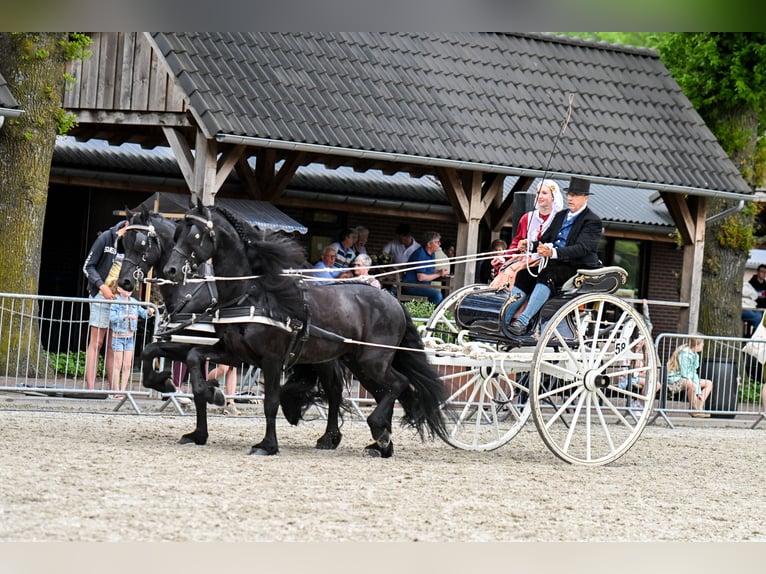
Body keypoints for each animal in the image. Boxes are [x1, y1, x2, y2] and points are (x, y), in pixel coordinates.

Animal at [117, 209, 348, 452]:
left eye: (141, 243)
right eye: (123, 242)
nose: (124, 282)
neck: (190, 291)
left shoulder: (198, 344)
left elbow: (195, 384)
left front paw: (213, 395)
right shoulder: (196, 346)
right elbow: (151, 351)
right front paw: (167, 385)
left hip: (322, 357)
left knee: (333, 390)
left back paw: (329, 437)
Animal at [163, 205, 450, 462]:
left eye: (195, 234)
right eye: (176, 233)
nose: (170, 271)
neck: (252, 293)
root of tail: (393, 301)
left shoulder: (271, 359)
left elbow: (270, 402)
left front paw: (267, 445)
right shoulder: (235, 353)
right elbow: (194, 358)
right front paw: (206, 409)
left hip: (373, 361)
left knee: (399, 384)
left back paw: (377, 432)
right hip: (358, 363)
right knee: (376, 392)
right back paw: (379, 444)